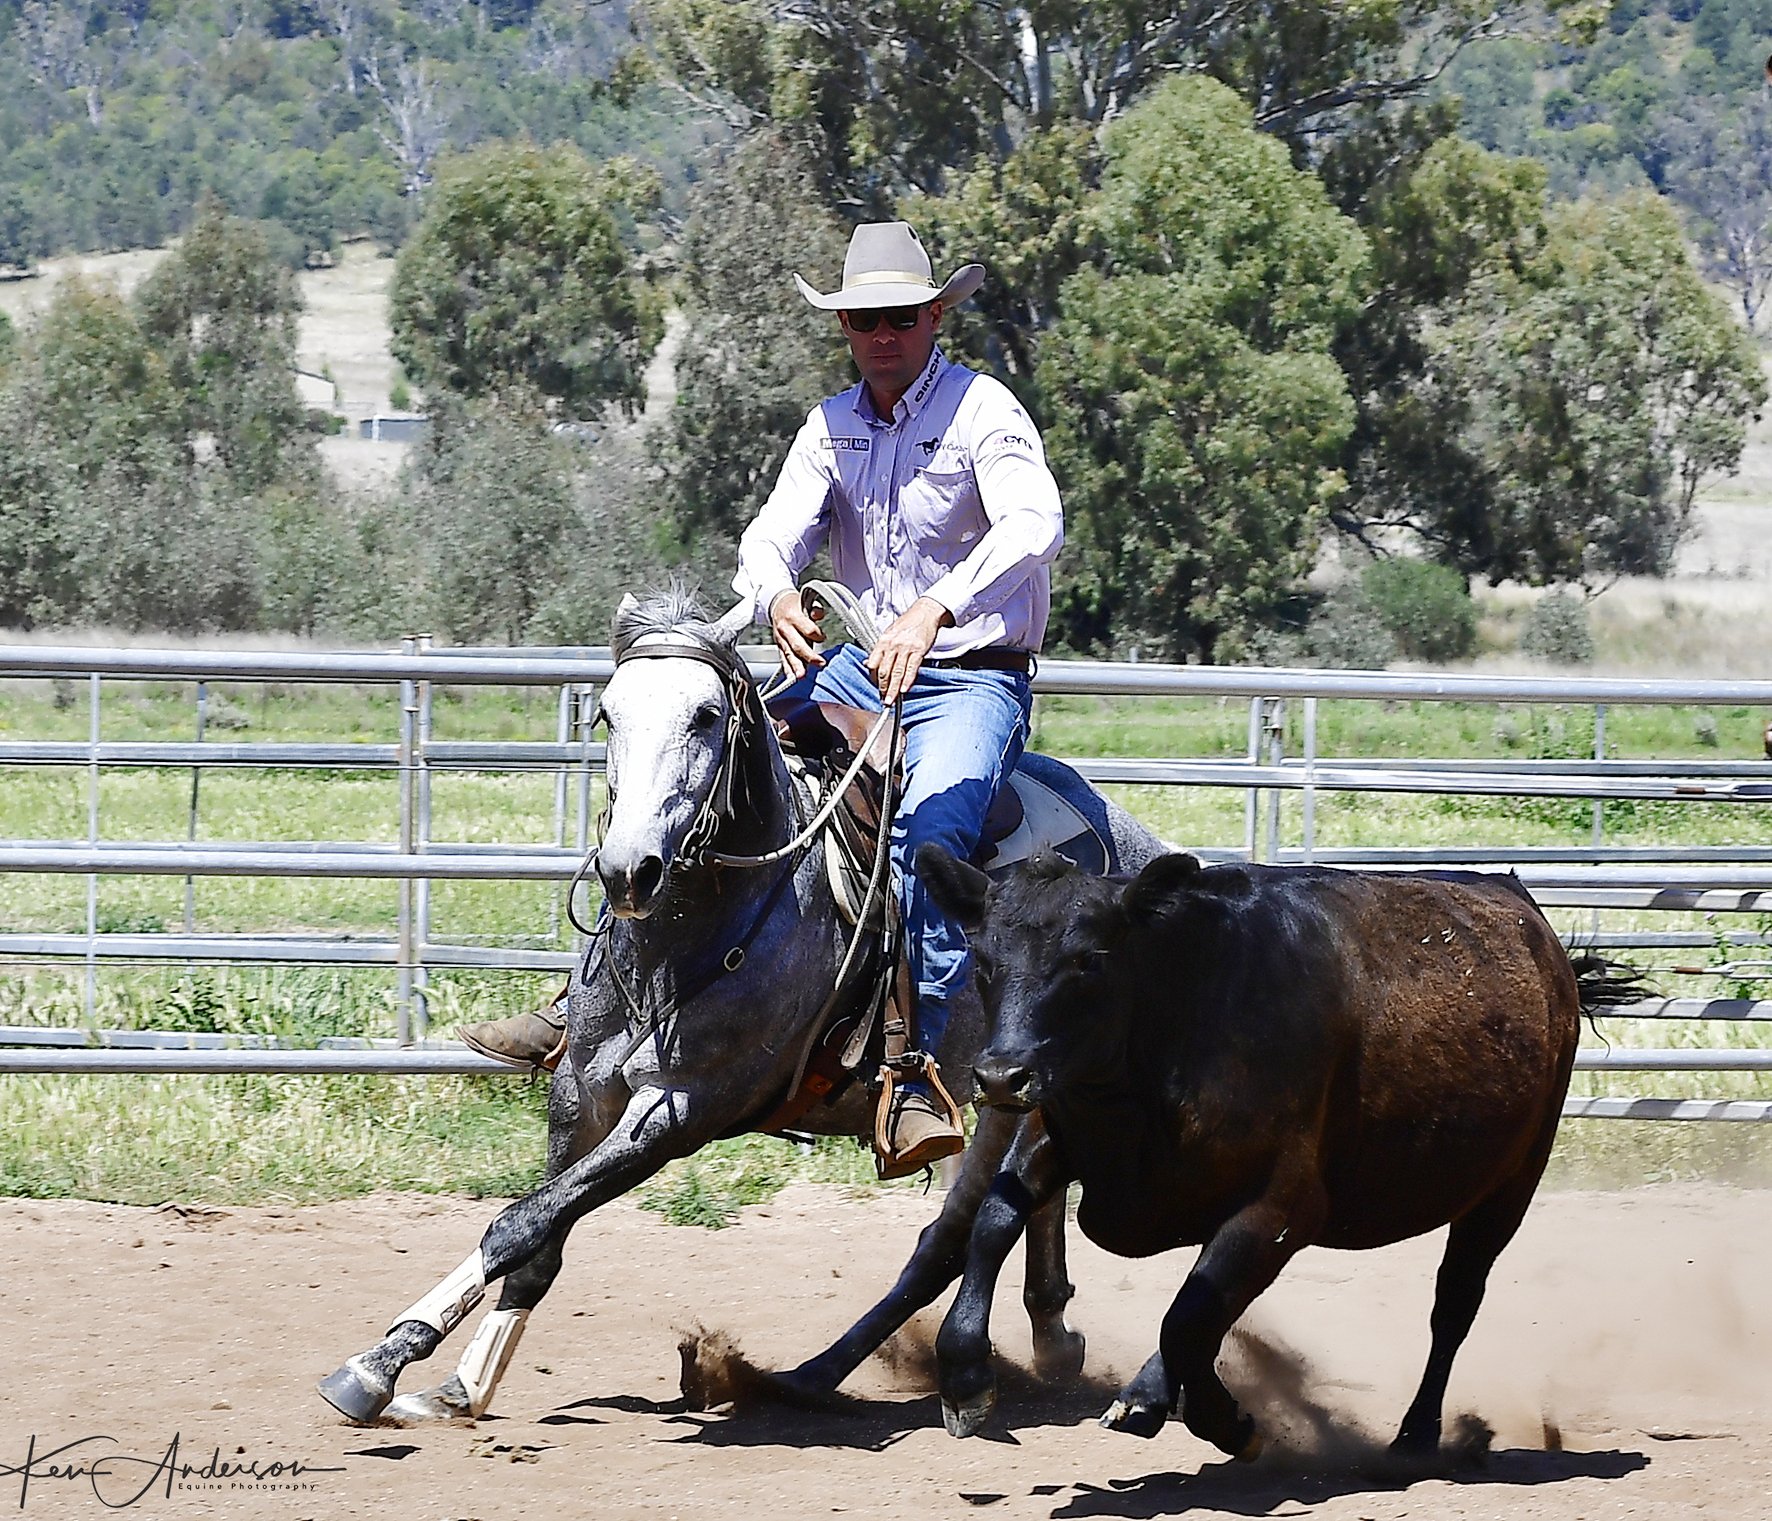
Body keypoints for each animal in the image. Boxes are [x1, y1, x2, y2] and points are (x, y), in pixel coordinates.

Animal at [316, 588, 1165, 1425]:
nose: (627, 871)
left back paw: (917, 1374)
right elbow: (540, 1237)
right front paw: (458, 1379)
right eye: (608, 713)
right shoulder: (578, 1093)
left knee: (959, 1232)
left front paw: (375, 1364)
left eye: (704, 715)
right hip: (1012, 1100)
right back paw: (1037, 1337)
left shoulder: (681, 1106)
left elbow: (521, 1221)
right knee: (1021, 1203)